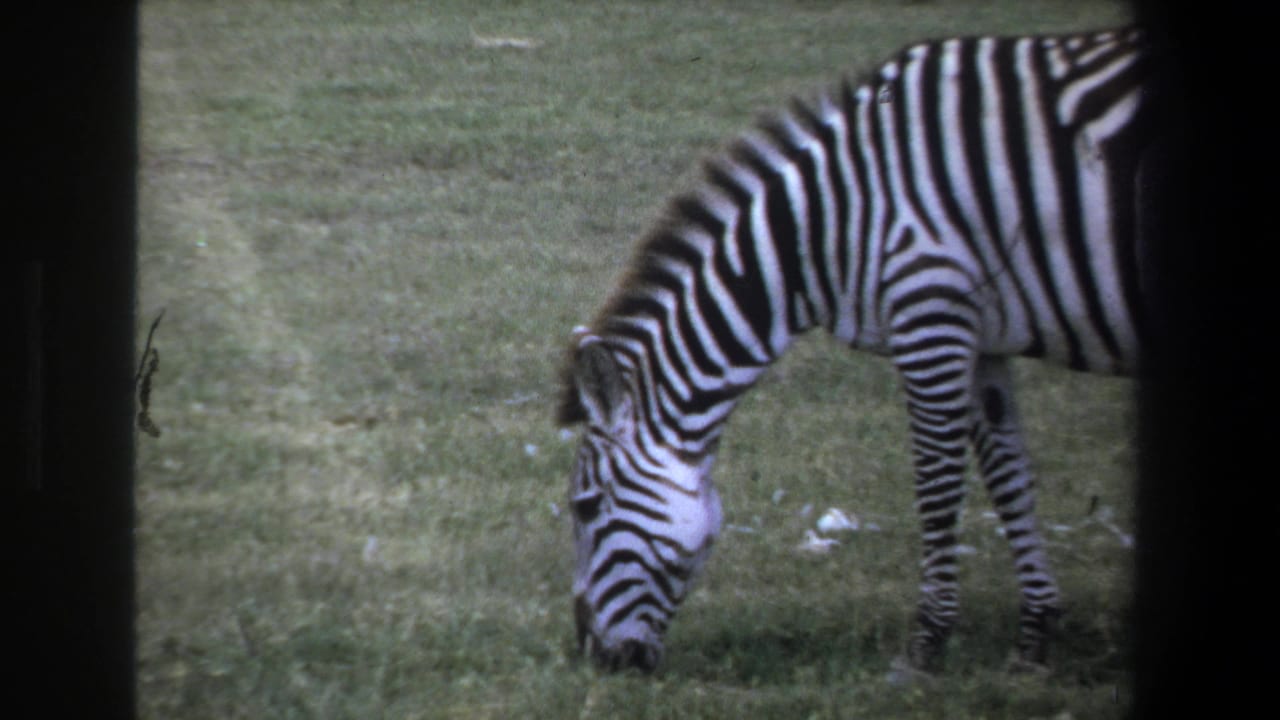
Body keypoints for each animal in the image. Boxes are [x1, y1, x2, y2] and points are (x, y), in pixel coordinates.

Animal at [558, 26, 1157, 673]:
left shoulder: (929, 315)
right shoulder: (981, 337)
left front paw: (927, 643)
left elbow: (938, 485)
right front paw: (1035, 634)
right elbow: (1009, 478)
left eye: (586, 508)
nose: (596, 658)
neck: (827, 225)